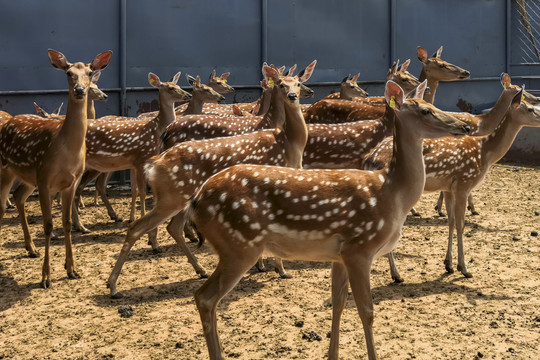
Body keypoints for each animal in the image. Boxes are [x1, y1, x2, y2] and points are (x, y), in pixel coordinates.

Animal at [0, 48, 112, 286]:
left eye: (90, 72)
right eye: (68, 73)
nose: (80, 90)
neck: (65, 151)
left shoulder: (70, 182)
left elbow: (66, 222)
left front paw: (72, 269)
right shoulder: (44, 179)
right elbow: (48, 225)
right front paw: (45, 277)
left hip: (27, 177)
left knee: (18, 196)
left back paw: (31, 248)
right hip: (5, 169)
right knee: (2, 206)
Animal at [70, 71, 191, 232]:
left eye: (178, 85)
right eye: (171, 88)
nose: (188, 95)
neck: (156, 130)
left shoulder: (134, 164)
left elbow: (135, 190)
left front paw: (131, 218)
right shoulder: (141, 159)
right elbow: (143, 192)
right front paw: (140, 218)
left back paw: (78, 225)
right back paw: (81, 226)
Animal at [106, 61, 316, 298]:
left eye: (298, 82)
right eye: (281, 83)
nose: (294, 95)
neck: (289, 144)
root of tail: (155, 162)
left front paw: (265, 266)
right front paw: (278, 269)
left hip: (181, 197)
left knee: (172, 227)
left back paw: (199, 269)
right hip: (172, 196)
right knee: (137, 227)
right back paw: (113, 286)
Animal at [180, 81, 468, 360]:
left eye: (432, 104)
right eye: (425, 110)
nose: (464, 126)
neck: (392, 194)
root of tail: (196, 200)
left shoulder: (339, 255)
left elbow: (337, 304)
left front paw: (332, 354)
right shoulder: (359, 248)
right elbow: (367, 311)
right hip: (239, 245)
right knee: (205, 298)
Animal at [362, 81, 536, 282]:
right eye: (531, 109)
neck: (485, 153)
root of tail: (369, 159)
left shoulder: (448, 187)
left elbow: (451, 221)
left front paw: (448, 264)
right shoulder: (463, 184)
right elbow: (461, 224)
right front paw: (464, 268)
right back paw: (396, 275)